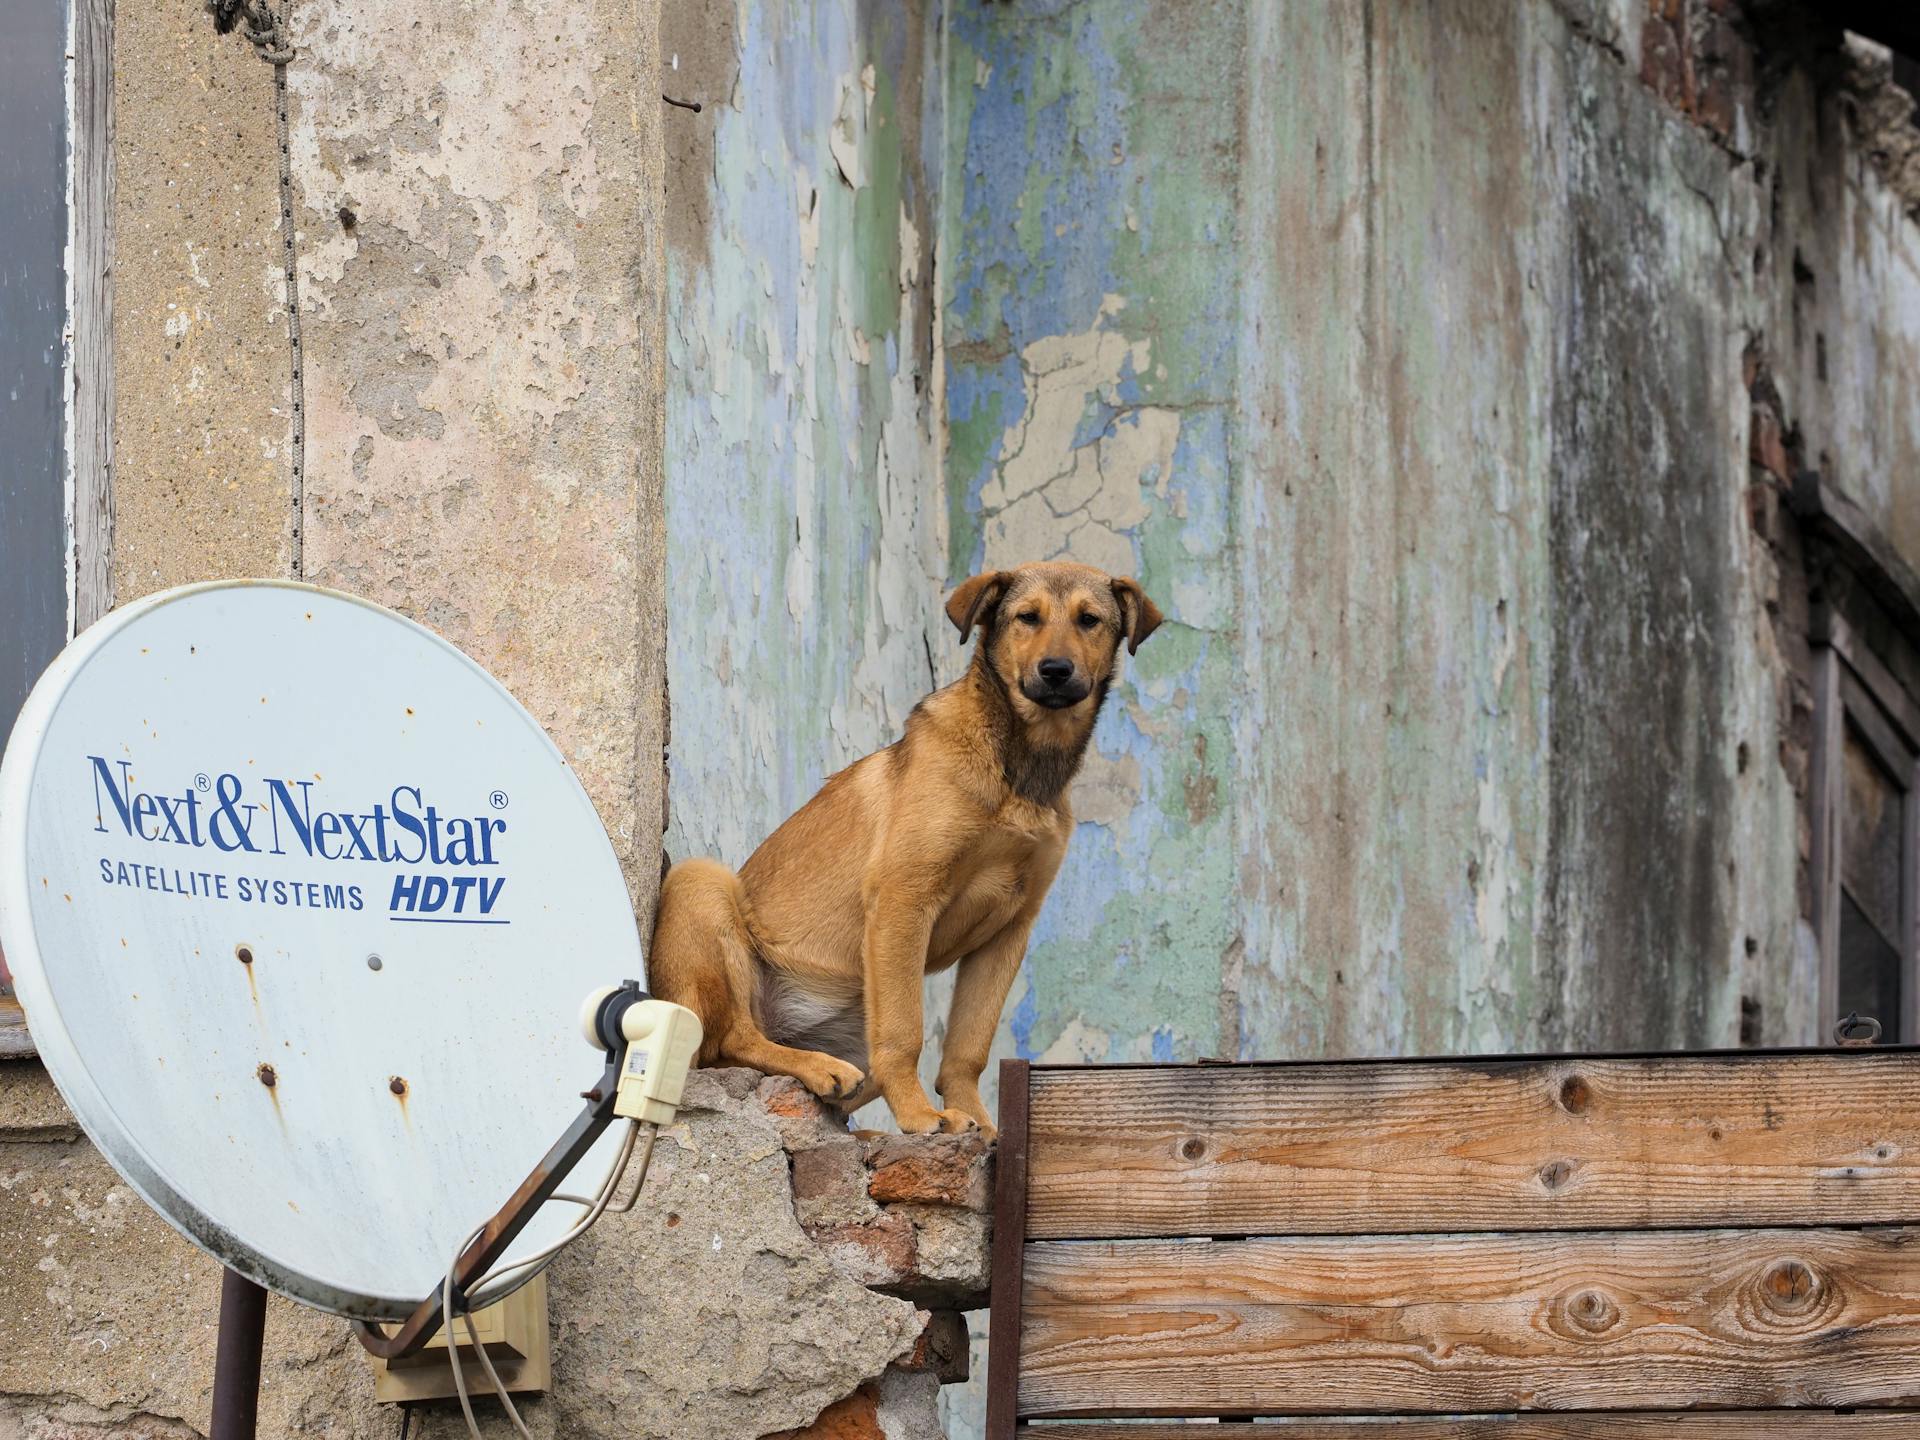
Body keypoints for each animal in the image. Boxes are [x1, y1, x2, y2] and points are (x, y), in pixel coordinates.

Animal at [648, 564, 1152, 1136]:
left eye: (1089, 620)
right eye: (1028, 617)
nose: (1056, 671)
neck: (1019, 765)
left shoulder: (1010, 928)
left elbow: (968, 1047)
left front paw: (977, 1120)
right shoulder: (904, 899)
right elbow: (905, 1033)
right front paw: (919, 1115)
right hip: (700, 882)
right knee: (730, 1040)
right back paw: (817, 1066)